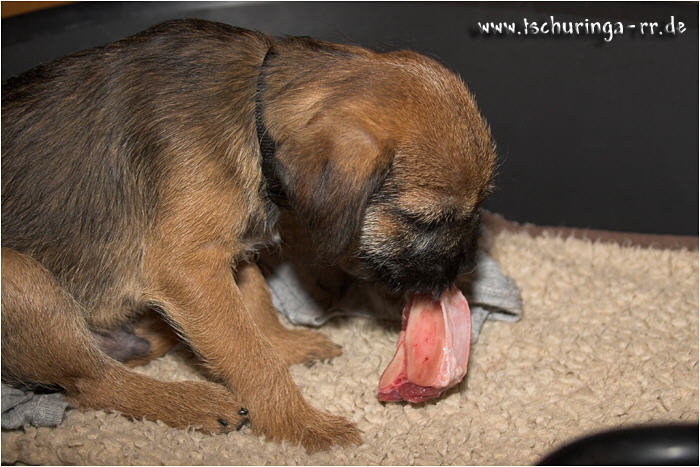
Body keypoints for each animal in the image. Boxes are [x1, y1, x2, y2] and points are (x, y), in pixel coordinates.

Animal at [1, 19, 496, 451]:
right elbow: (249, 354)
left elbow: (256, 300)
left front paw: (286, 342)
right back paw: (191, 403)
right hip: (23, 279)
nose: (467, 269)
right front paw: (299, 424)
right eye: (425, 221)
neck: (255, 112)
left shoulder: (226, 254)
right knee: (91, 385)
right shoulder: (190, 269)